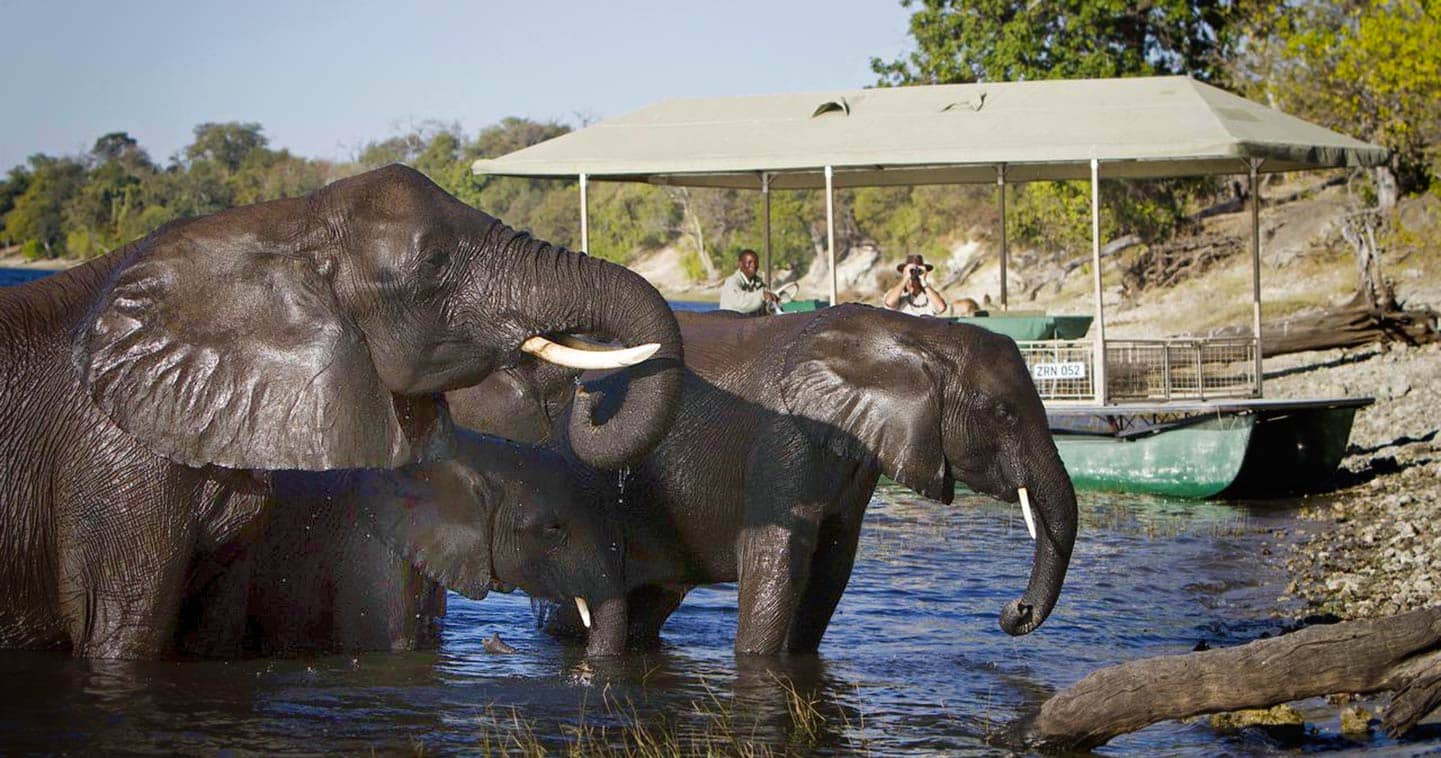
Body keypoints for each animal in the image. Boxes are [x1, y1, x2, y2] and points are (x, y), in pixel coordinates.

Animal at [455, 305, 1077, 657]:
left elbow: (833, 563)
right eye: (1003, 414)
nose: (1013, 614)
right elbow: (778, 557)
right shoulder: (786, 439)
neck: (912, 337)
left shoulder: (855, 450)